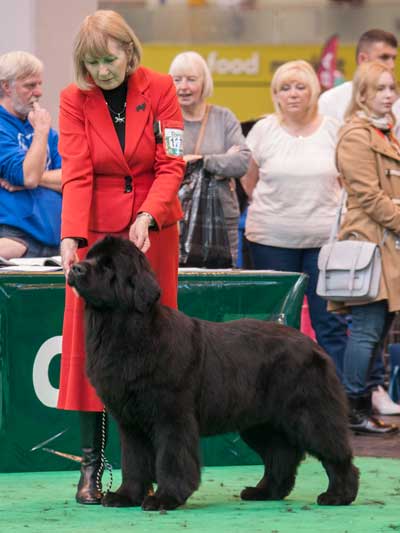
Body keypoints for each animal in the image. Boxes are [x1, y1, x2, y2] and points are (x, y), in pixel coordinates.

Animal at [69, 237, 360, 512]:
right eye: (89, 256)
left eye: (108, 265)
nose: (75, 267)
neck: (125, 330)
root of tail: (314, 345)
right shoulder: (131, 422)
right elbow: (134, 462)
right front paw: (125, 496)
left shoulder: (171, 416)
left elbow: (171, 459)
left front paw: (165, 498)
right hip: (260, 422)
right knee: (281, 455)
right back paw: (263, 492)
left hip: (310, 414)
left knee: (336, 453)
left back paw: (338, 495)